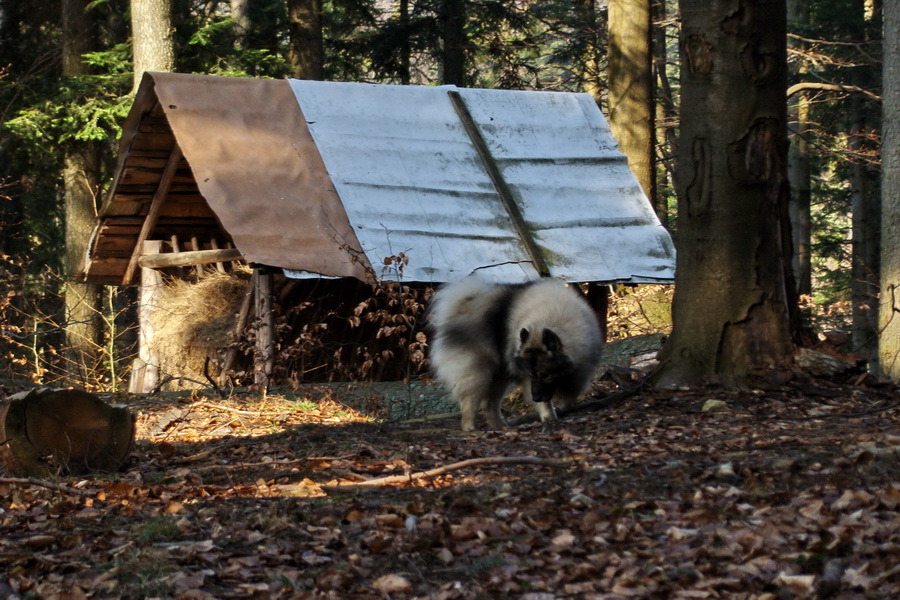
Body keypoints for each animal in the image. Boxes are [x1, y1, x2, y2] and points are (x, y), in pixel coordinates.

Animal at [428, 278, 600, 432]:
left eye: (546, 374)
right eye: (530, 374)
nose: (535, 397)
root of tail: (461, 306)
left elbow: (572, 391)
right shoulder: (530, 381)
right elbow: (546, 401)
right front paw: (549, 416)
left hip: (500, 376)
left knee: (488, 404)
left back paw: (501, 427)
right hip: (477, 372)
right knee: (469, 401)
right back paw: (470, 427)